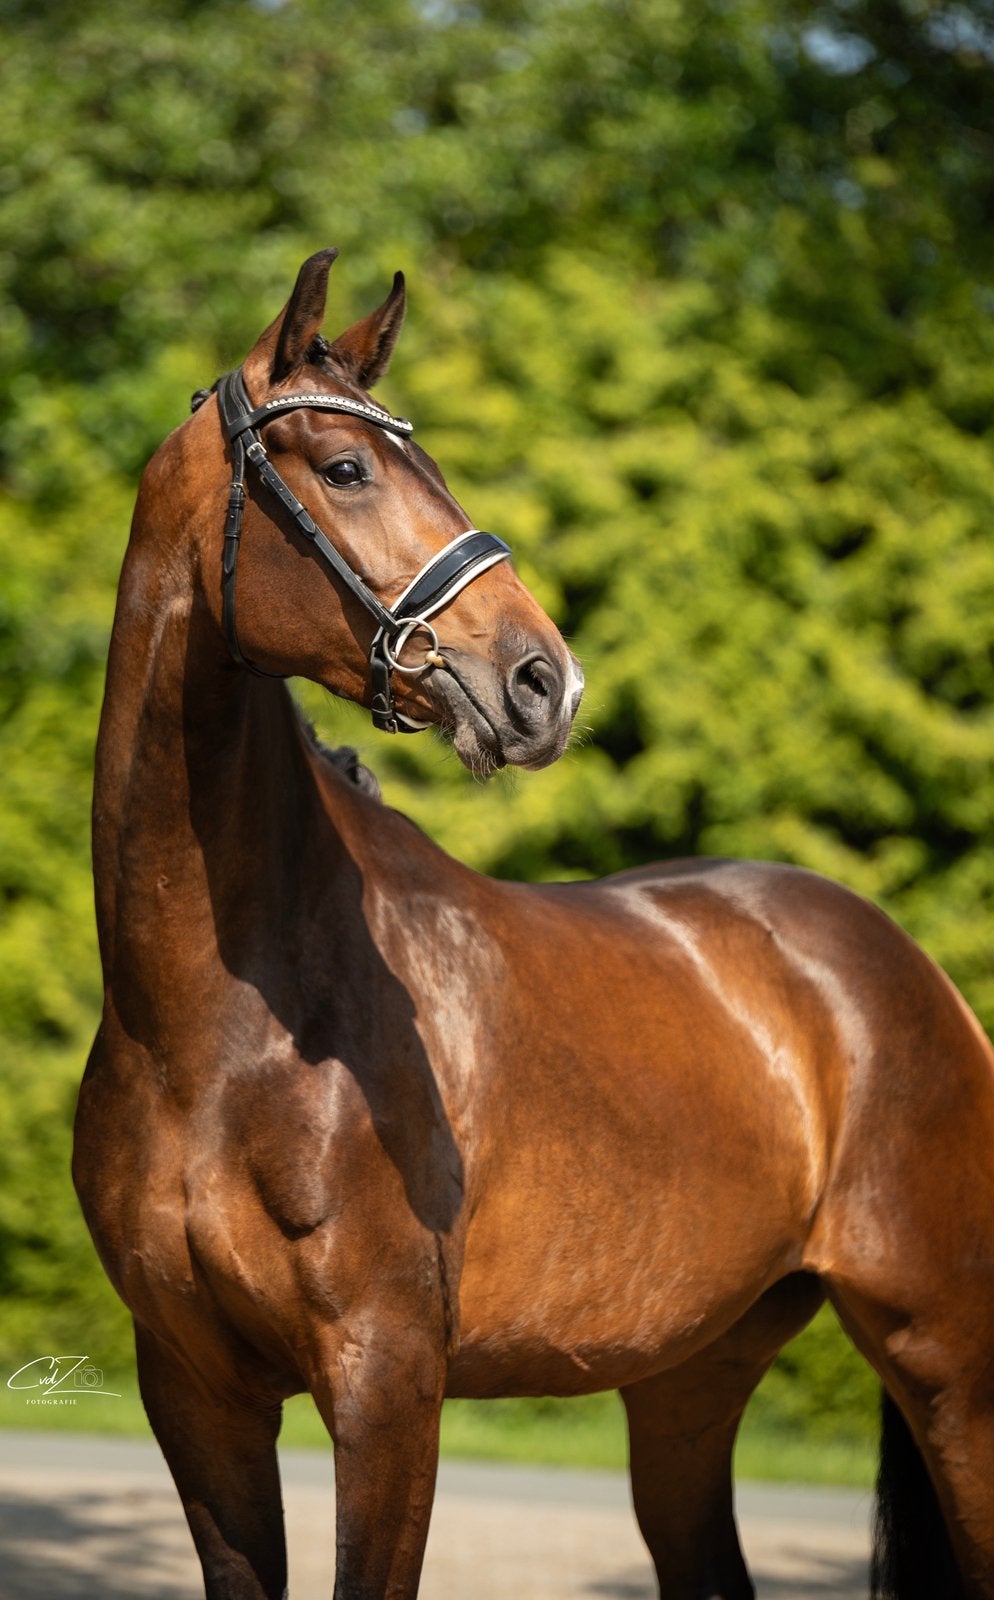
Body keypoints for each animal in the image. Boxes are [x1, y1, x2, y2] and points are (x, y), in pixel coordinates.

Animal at [74, 247, 994, 1600]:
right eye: (343, 468)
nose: (541, 681)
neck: (218, 1028)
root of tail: (907, 974)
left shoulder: (389, 1384)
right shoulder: (194, 1393)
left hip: (945, 1359)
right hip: (689, 1379)